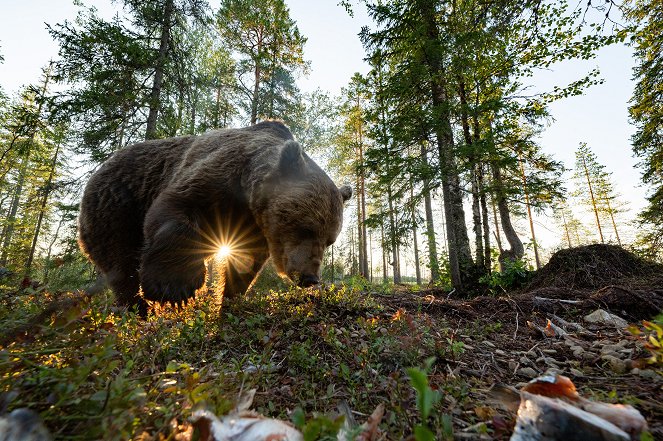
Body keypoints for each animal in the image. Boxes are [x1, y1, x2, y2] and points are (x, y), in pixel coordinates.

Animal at [79, 120, 352, 312]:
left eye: (330, 240)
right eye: (304, 227)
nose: (310, 277)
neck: (248, 195)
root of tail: (102, 167)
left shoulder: (252, 224)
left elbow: (246, 263)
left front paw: (231, 298)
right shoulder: (216, 177)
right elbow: (175, 210)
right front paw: (175, 289)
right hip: (118, 206)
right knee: (122, 263)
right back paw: (138, 309)